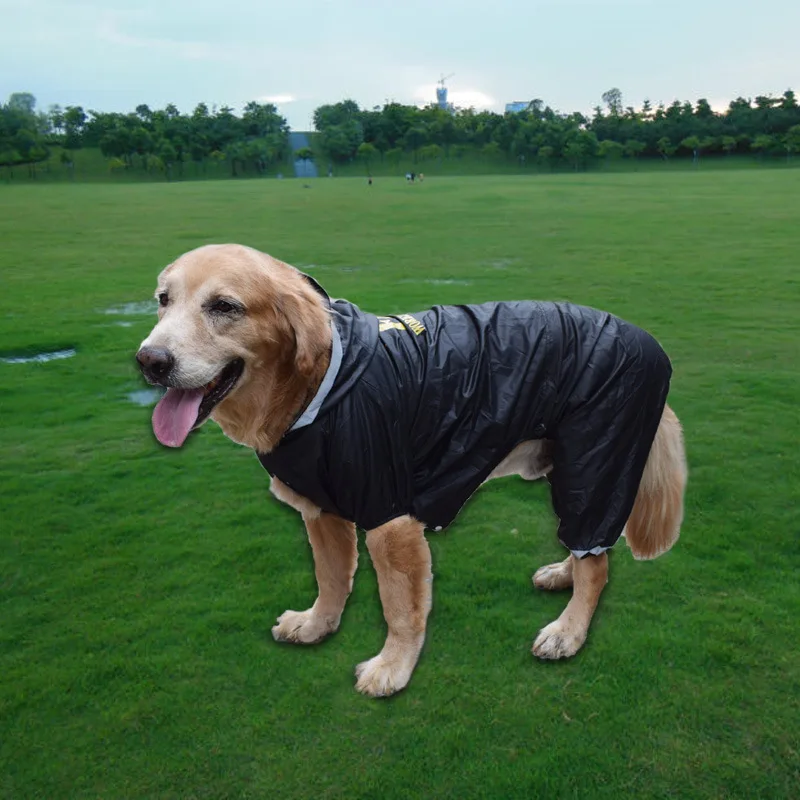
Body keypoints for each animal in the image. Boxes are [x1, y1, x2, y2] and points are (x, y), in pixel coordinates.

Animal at [138, 247, 688, 696]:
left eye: (224, 307)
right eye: (163, 299)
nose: (149, 361)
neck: (325, 382)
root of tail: (648, 339)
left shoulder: (390, 519)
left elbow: (400, 607)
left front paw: (392, 669)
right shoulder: (322, 511)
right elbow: (331, 579)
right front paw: (317, 625)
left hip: (596, 463)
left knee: (597, 560)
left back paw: (568, 631)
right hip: (573, 468)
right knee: (588, 547)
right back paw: (562, 574)